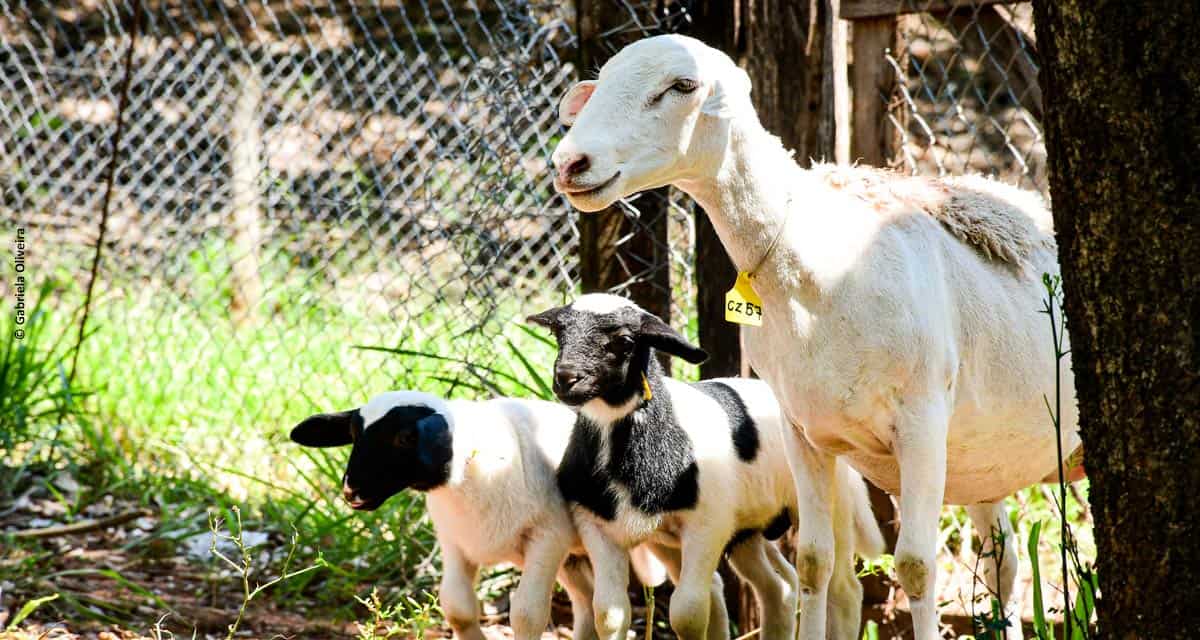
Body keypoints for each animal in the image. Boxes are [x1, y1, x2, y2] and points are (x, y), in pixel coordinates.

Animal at [530, 294, 888, 638]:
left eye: (625, 341)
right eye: (558, 334)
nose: (565, 379)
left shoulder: (707, 526)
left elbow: (687, 614)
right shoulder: (597, 527)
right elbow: (609, 616)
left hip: (833, 506)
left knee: (844, 589)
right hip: (744, 531)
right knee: (778, 587)